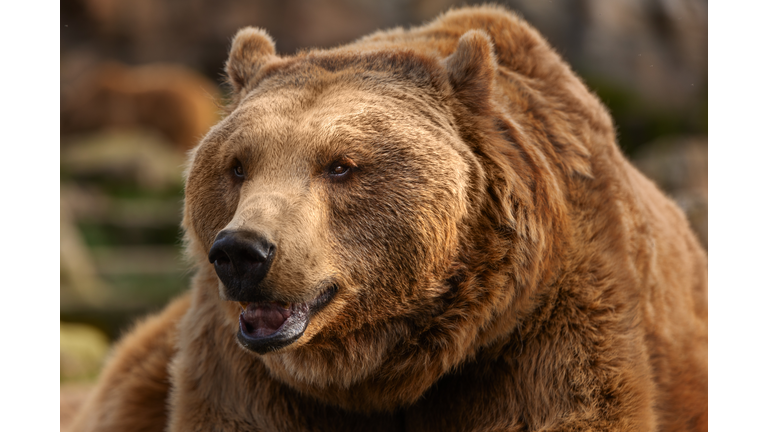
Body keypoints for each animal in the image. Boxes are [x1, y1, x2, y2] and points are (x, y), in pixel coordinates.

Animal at [67, 4, 708, 432]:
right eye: (237, 165)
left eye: (341, 166)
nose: (243, 252)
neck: (382, 370)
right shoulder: (242, 368)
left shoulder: (545, 321)